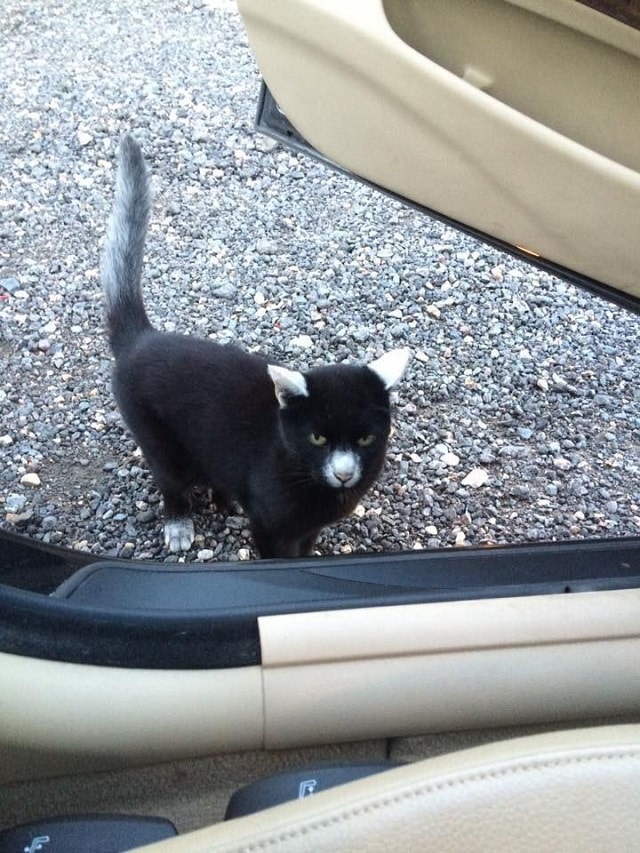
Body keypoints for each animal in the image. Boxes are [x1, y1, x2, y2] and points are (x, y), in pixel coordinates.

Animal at [100, 133, 410, 560]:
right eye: (317, 438)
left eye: (365, 438)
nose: (345, 473)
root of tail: (142, 338)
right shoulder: (268, 524)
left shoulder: (309, 527)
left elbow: (305, 549)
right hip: (159, 441)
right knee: (171, 483)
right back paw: (179, 523)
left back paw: (225, 501)